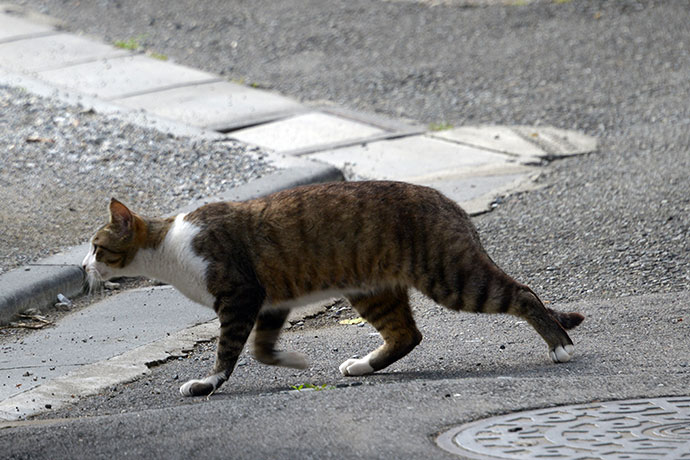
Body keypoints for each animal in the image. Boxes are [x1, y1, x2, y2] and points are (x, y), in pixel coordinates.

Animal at [83, 181, 584, 398]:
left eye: (96, 246)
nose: (83, 266)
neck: (170, 245)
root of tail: (449, 201)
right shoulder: (271, 301)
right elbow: (262, 349)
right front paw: (294, 360)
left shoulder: (241, 296)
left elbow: (228, 350)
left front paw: (207, 383)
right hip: (371, 289)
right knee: (407, 335)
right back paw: (363, 365)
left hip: (451, 276)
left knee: (523, 294)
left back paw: (559, 345)